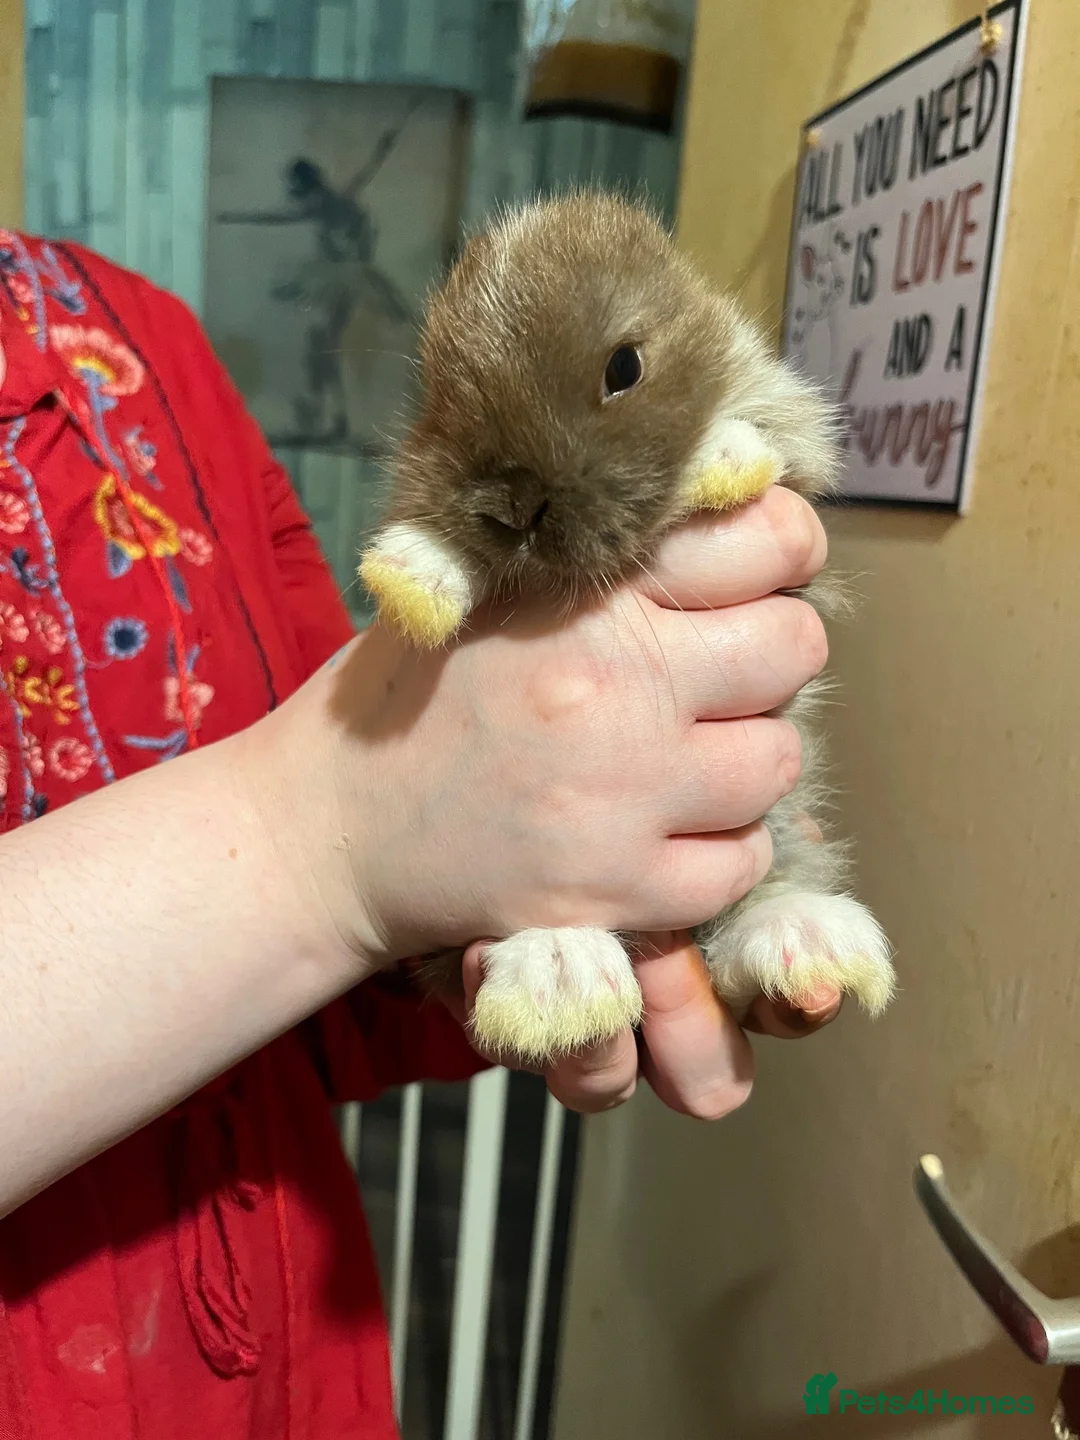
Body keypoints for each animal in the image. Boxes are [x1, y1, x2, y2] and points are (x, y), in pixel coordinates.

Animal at [358, 189, 894, 1063]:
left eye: (625, 369)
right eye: (439, 394)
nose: (512, 505)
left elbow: (766, 441)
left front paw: (724, 459)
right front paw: (408, 579)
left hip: (776, 820)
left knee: (758, 901)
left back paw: (805, 937)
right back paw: (558, 980)